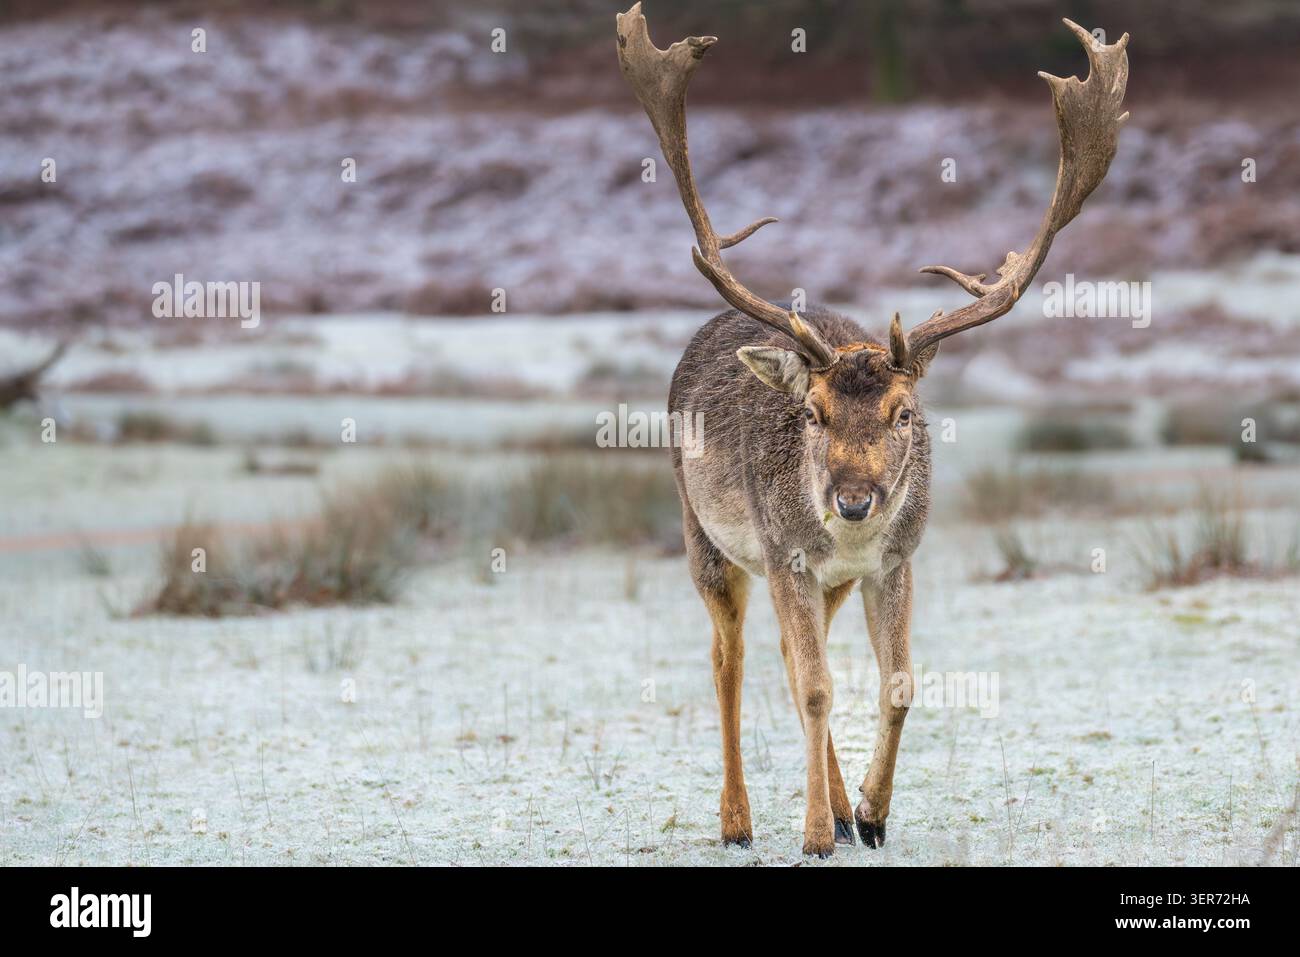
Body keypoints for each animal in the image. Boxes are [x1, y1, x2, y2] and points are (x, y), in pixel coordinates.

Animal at [615, 3, 1129, 857]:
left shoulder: (894, 560)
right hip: (705, 535)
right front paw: (817, 833)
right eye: (813, 412)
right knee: (731, 656)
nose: (854, 500)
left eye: (904, 413)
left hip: (825, 579)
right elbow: (815, 687)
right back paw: (738, 818)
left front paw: (872, 811)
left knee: (789, 652)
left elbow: (897, 683)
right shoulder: (785, 552)